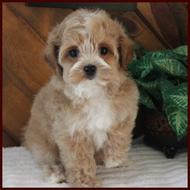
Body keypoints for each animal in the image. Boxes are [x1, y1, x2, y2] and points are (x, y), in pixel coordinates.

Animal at [23, 9, 140, 187]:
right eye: (73, 52)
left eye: (104, 50)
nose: (90, 67)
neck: (93, 92)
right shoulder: (71, 132)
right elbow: (79, 160)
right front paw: (86, 182)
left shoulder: (126, 109)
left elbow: (119, 133)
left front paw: (115, 159)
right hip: (41, 142)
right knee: (47, 158)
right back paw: (55, 174)